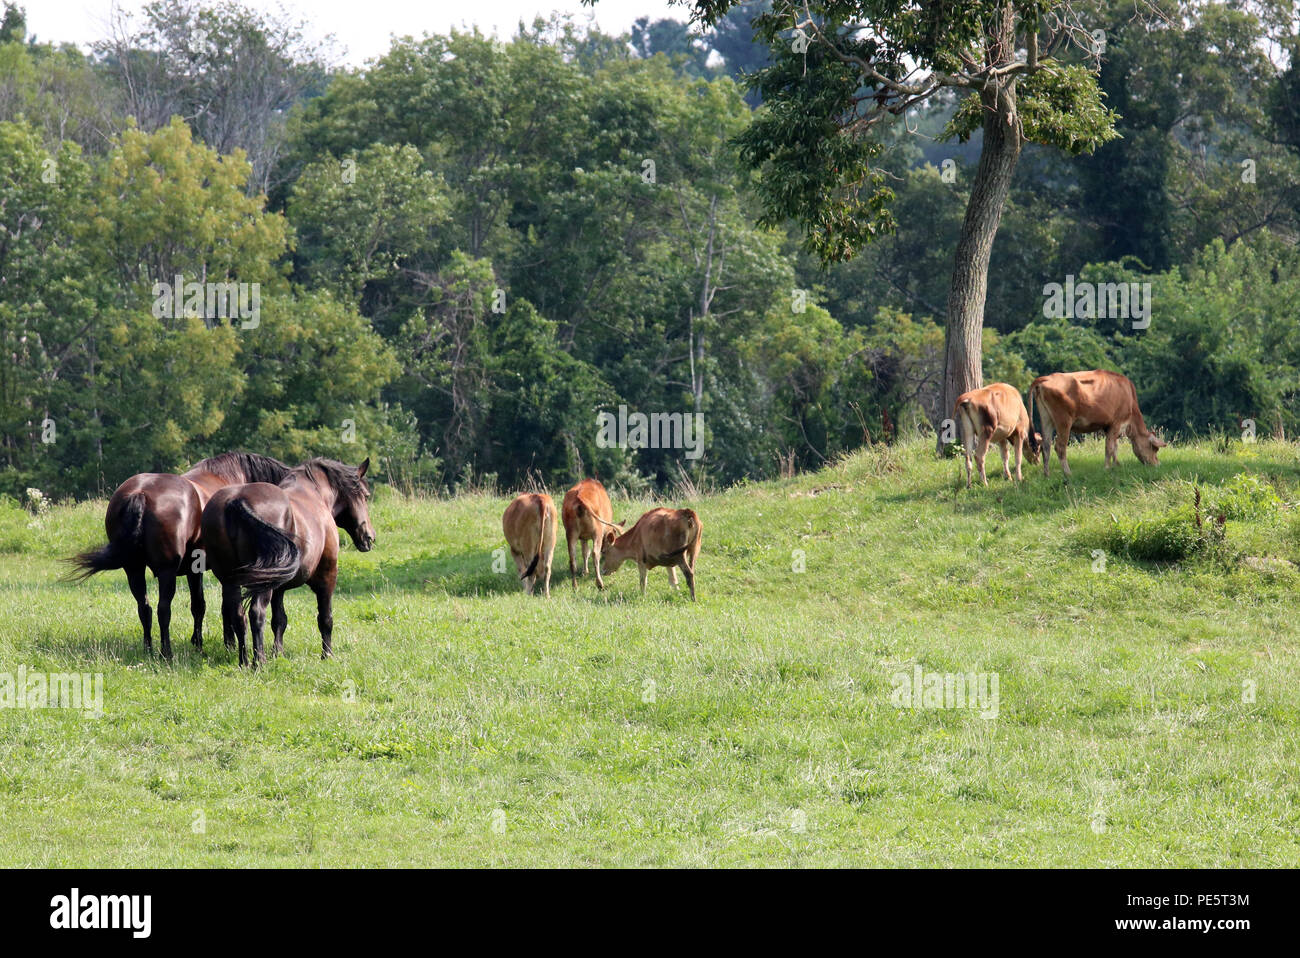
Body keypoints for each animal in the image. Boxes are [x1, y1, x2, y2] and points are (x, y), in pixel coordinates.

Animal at [69, 452, 290, 659]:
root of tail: (140, 494)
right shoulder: (211, 572)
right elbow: (216, 606)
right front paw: (223, 643)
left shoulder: (198, 571)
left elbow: (201, 605)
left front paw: (202, 642)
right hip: (166, 572)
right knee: (163, 609)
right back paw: (166, 653)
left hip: (133, 569)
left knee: (145, 608)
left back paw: (148, 649)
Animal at [200, 457, 374, 668]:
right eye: (366, 496)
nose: (369, 537)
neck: (314, 493)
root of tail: (236, 501)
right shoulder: (327, 576)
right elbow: (325, 618)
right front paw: (327, 655)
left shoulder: (279, 588)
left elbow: (279, 620)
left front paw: (278, 653)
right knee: (256, 614)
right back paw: (259, 661)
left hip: (230, 581)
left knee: (238, 616)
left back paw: (244, 662)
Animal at [1028, 369, 1167, 479]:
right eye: (1155, 448)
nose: (1157, 464)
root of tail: (1047, 377)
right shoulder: (1116, 423)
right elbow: (1109, 447)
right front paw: (1107, 468)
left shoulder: (1108, 426)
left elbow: (1114, 447)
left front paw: (1117, 465)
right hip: (1064, 421)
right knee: (1060, 447)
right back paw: (1068, 473)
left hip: (1047, 419)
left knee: (1046, 446)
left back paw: (1047, 475)